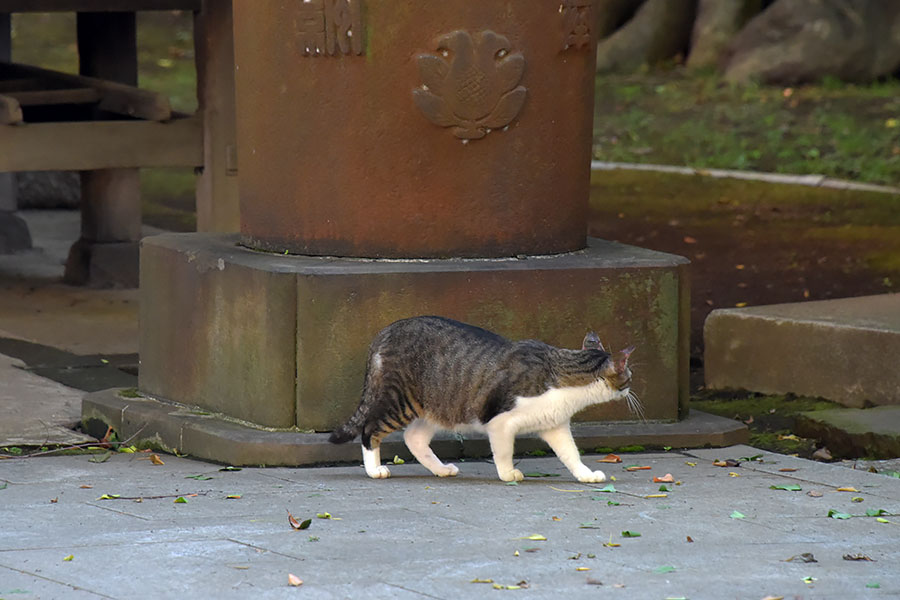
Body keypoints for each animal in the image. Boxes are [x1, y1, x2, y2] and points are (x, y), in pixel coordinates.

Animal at [326, 316, 636, 486]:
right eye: (629, 375)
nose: (630, 388)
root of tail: (385, 331)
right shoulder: (501, 422)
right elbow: (503, 452)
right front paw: (508, 474)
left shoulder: (555, 425)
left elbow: (571, 454)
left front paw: (585, 475)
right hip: (401, 400)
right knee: (370, 429)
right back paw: (374, 469)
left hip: (439, 405)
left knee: (414, 438)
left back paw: (441, 469)